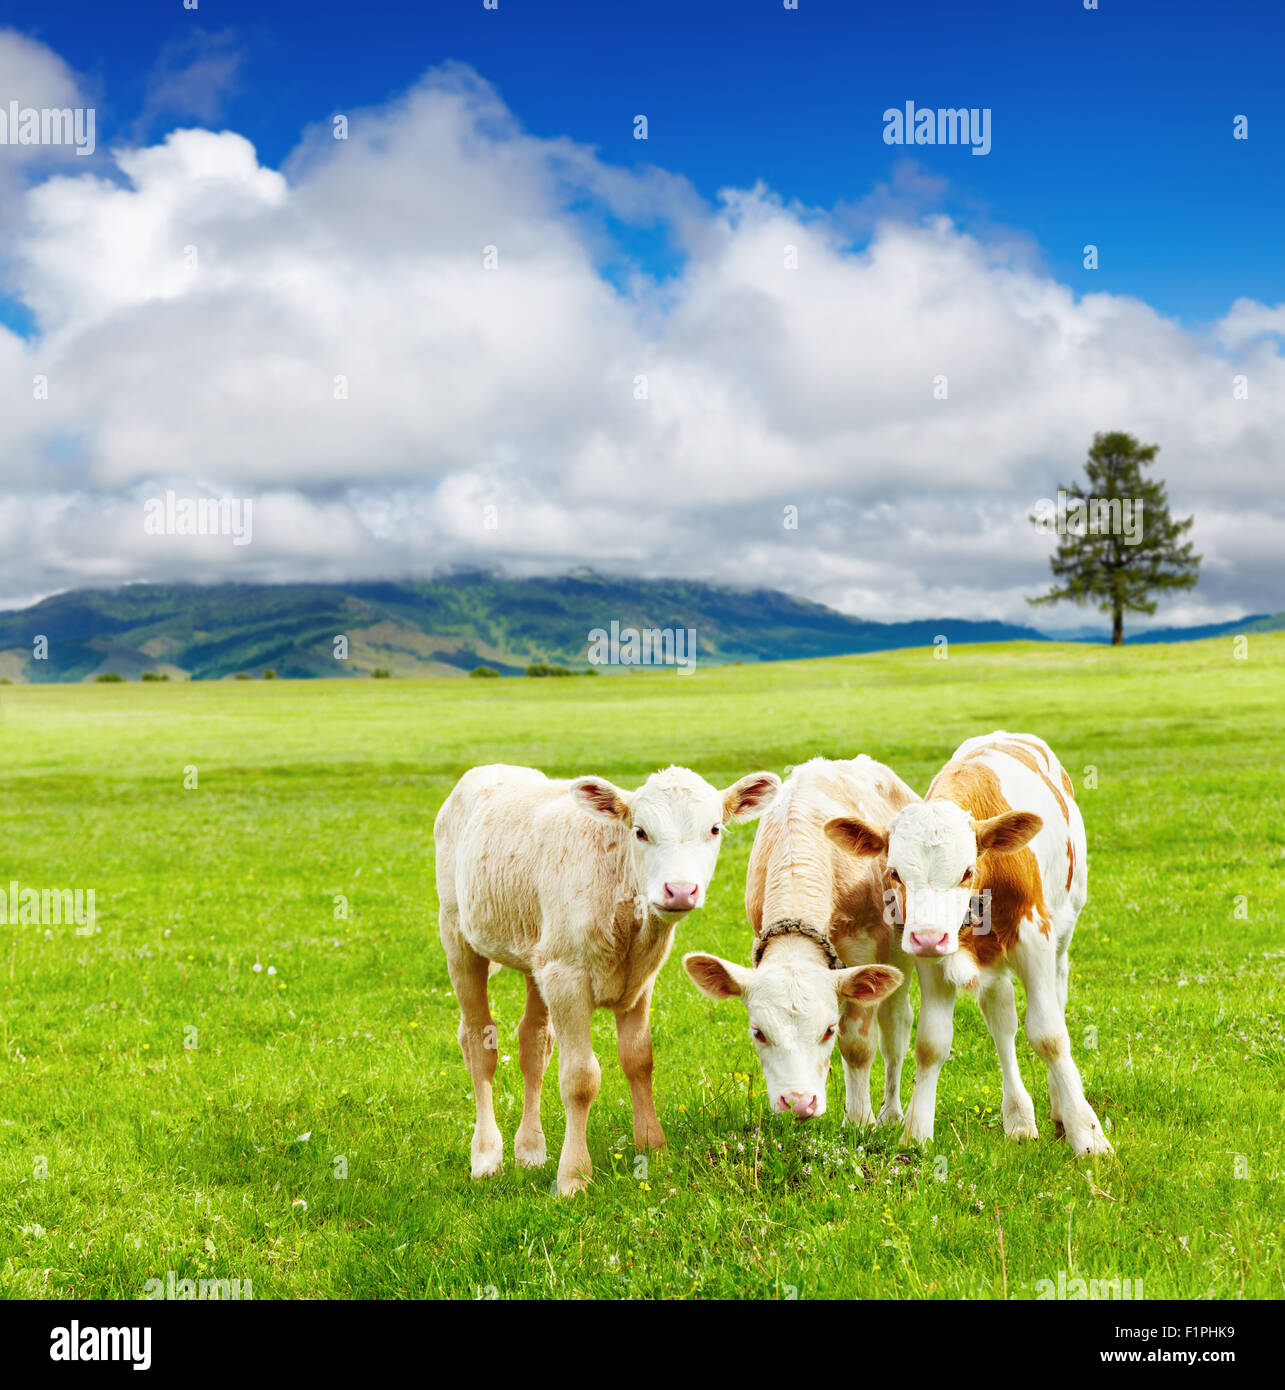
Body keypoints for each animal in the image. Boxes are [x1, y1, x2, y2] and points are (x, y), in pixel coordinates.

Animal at [431, 761, 778, 1195]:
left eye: (714, 829)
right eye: (640, 831)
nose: (681, 890)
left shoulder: (640, 979)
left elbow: (639, 1060)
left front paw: (653, 1148)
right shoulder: (567, 978)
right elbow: (580, 1078)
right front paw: (574, 1176)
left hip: (537, 954)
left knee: (533, 1042)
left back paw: (530, 1150)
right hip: (458, 938)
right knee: (479, 1041)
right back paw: (486, 1155)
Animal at [681, 761, 912, 1128]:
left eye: (829, 1030)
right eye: (758, 1033)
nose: (800, 1103)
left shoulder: (868, 950)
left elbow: (858, 1045)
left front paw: (860, 1121)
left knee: (896, 1030)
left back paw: (891, 1114)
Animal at [828, 733, 1106, 1156]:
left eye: (966, 871)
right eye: (894, 872)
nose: (929, 936)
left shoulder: (1035, 941)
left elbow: (1050, 1035)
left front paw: (1087, 1133)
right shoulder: (930, 959)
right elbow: (931, 1043)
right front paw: (916, 1132)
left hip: (1061, 939)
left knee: (1054, 1005)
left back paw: (1059, 1108)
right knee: (1002, 1022)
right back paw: (1018, 1116)